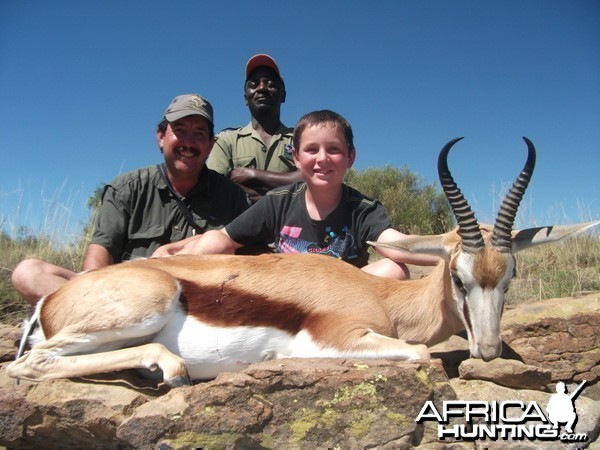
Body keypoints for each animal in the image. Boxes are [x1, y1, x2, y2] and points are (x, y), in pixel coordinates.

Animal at [7, 137, 596, 386]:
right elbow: (417, 355)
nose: (490, 350)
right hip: (141, 307)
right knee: (27, 365)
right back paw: (168, 371)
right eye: (459, 275)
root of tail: (50, 301)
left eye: (510, 276)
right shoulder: (338, 339)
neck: (384, 299)